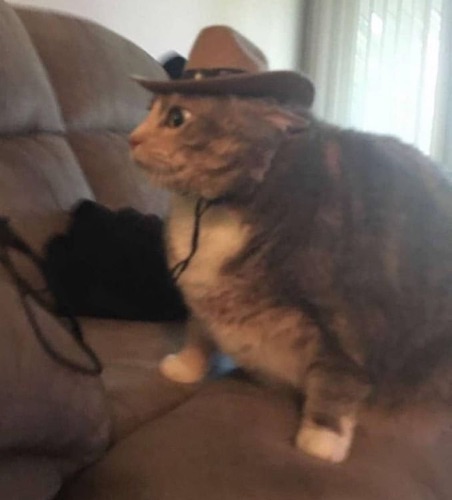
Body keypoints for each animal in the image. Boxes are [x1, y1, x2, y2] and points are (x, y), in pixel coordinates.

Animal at [129, 93, 452, 463]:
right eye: (149, 110)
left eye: (176, 118)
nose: (132, 137)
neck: (211, 209)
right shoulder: (199, 297)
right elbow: (198, 330)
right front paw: (185, 366)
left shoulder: (351, 323)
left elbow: (338, 380)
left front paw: (320, 441)